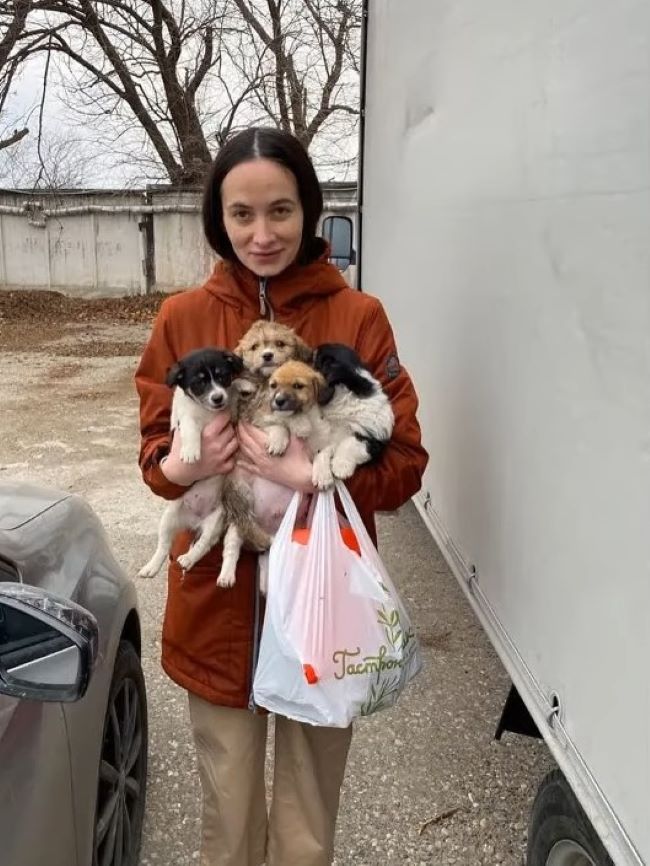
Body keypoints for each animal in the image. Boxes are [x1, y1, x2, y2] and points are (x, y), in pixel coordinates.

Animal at [138, 346, 244, 580]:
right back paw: (151, 566)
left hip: (216, 520)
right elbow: (190, 427)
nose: (218, 398)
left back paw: (188, 558)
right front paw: (190, 452)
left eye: (222, 376)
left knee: (203, 544)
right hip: (169, 517)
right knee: (163, 546)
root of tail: (194, 522)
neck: (207, 412)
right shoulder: (184, 418)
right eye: (199, 382)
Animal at [219, 356, 330, 588]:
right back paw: (227, 575)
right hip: (240, 506)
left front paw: (323, 475)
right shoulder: (260, 421)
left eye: (297, 386)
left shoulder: (322, 443)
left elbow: (323, 454)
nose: (278, 401)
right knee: (233, 546)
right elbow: (279, 425)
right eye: (273, 386)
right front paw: (280, 440)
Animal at [310, 344, 394, 492]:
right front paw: (322, 475)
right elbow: (322, 449)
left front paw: (340, 467)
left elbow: (351, 443)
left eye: (315, 360)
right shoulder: (326, 433)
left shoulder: (373, 438)